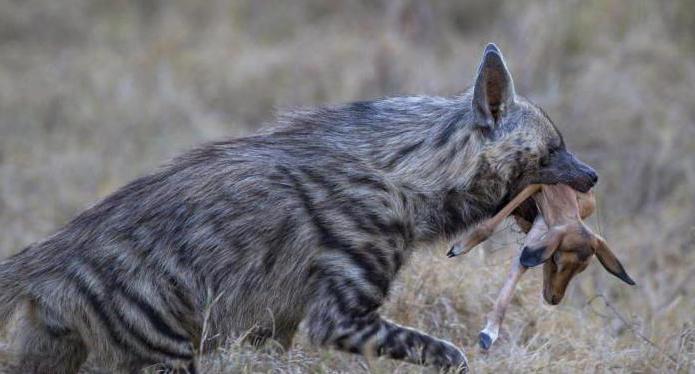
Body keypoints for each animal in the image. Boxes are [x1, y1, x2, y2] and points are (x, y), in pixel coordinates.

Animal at [452, 184, 636, 350]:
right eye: (557, 259)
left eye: (581, 269)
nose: (554, 298)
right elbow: (489, 227)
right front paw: (460, 246)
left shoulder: (544, 219)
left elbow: (520, 264)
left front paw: (489, 333)